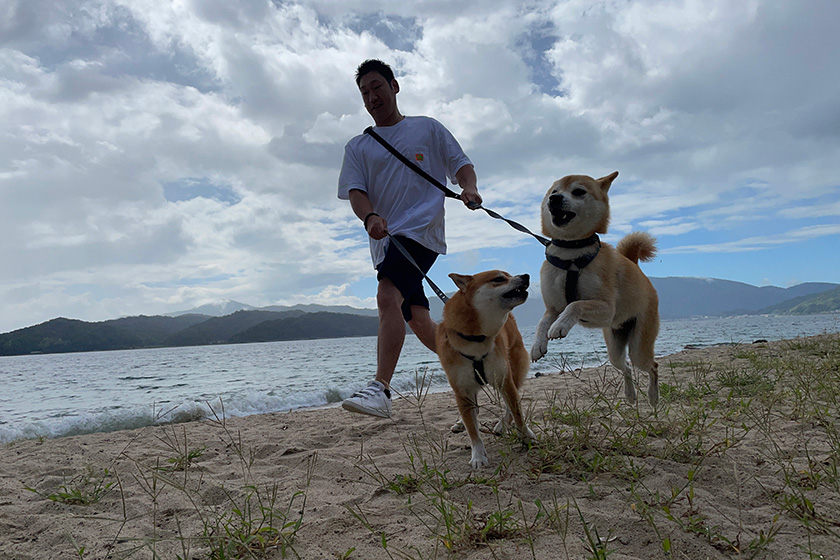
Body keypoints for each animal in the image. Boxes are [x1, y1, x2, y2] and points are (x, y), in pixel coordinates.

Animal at [436, 272, 536, 468]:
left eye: (508, 275)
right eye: (499, 278)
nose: (526, 275)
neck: (475, 339)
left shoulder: (505, 380)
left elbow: (517, 412)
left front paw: (526, 436)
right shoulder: (462, 390)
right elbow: (472, 430)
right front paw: (478, 456)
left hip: (514, 371)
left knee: (509, 406)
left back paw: (501, 426)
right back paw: (461, 422)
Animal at [532, 173, 664, 404]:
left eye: (579, 191)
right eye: (554, 192)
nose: (554, 199)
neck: (571, 254)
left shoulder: (606, 309)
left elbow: (575, 305)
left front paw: (560, 326)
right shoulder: (553, 308)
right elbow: (543, 322)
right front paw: (538, 344)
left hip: (639, 343)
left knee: (652, 366)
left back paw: (653, 396)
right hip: (614, 347)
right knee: (625, 366)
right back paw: (630, 395)